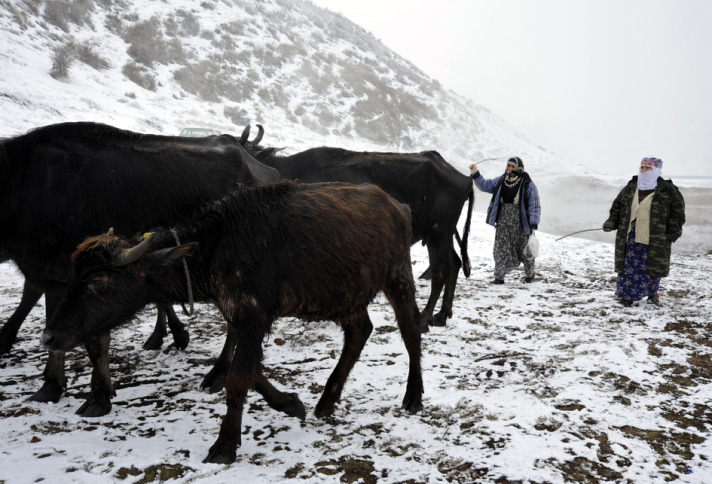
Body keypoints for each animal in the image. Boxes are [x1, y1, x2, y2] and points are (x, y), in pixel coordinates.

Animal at [41, 180, 426, 464]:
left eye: (97, 282)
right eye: (73, 276)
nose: (49, 337)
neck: (217, 244)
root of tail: (399, 206)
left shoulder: (254, 316)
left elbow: (238, 378)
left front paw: (224, 445)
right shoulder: (242, 318)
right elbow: (251, 370)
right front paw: (291, 404)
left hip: (398, 277)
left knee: (411, 332)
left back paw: (412, 396)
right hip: (346, 295)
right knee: (360, 330)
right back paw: (326, 400)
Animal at [242, 125, 476, 330]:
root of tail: (463, 178)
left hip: (439, 232)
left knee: (441, 271)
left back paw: (426, 318)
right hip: (442, 234)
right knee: (455, 263)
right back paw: (442, 315)